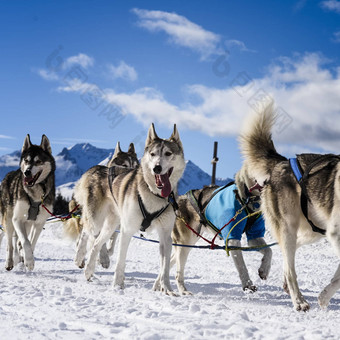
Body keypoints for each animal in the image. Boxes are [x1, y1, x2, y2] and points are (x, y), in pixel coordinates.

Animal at [0, 135, 55, 270]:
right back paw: (9, 262)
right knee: (10, 244)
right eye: (26, 160)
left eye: (38, 161)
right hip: (8, 220)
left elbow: (32, 242)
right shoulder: (17, 219)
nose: (27, 172)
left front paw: (27, 258)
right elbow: (25, 242)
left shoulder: (39, 223)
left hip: (28, 224)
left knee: (18, 241)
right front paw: (29, 260)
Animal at [76, 123, 186, 294]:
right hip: (96, 219)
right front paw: (117, 285)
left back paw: (90, 269)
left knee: (97, 243)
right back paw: (82, 259)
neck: (153, 194)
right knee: (88, 234)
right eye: (153, 154)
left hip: (111, 224)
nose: (157, 168)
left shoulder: (165, 237)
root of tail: (99, 169)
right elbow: (120, 262)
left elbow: (165, 268)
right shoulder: (127, 230)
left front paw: (167, 288)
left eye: (168, 153)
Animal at [171, 163, 272, 294]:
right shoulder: (232, 239)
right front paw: (248, 285)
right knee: (178, 272)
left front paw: (264, 269)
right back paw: (182, 290)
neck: (246, 199)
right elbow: (242, 266)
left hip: (188, 244)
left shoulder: (254, 236)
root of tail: (179, 200)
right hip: (184, 244)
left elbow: (269, 251)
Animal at [239, 105, 340, 312]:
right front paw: (323, 298)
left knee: (288, 254)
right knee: (290, 265)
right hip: (289, 226)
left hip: (313, 230)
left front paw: (324, 297)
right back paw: (299, 300)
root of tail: (283, 162)